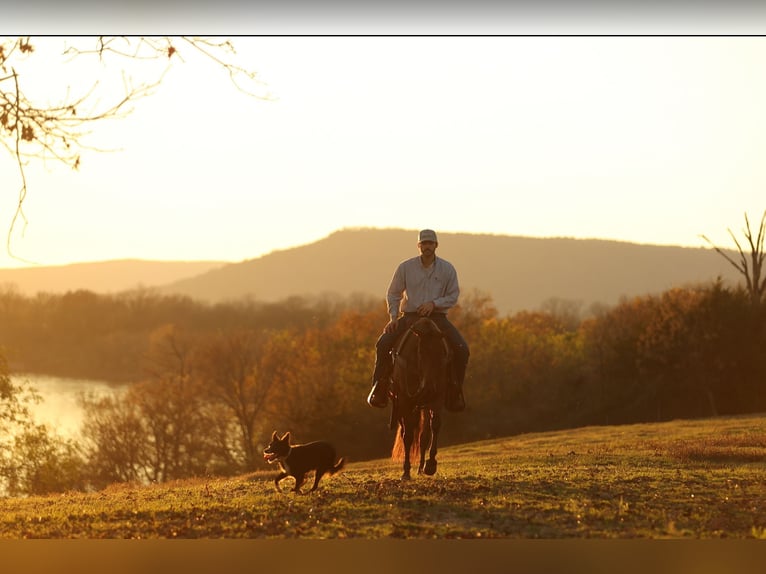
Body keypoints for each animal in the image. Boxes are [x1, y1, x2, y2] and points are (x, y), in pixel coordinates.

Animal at [389, 316, 452, 480]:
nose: (428, 388)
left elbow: (434, 426)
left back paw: (421, 468)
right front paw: (405, 471)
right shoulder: (404, 400)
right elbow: (408, 436)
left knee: (423, 436)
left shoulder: (437, 397)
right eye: (420, 352)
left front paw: (430, 465)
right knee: (407, 433)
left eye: (440, 353)